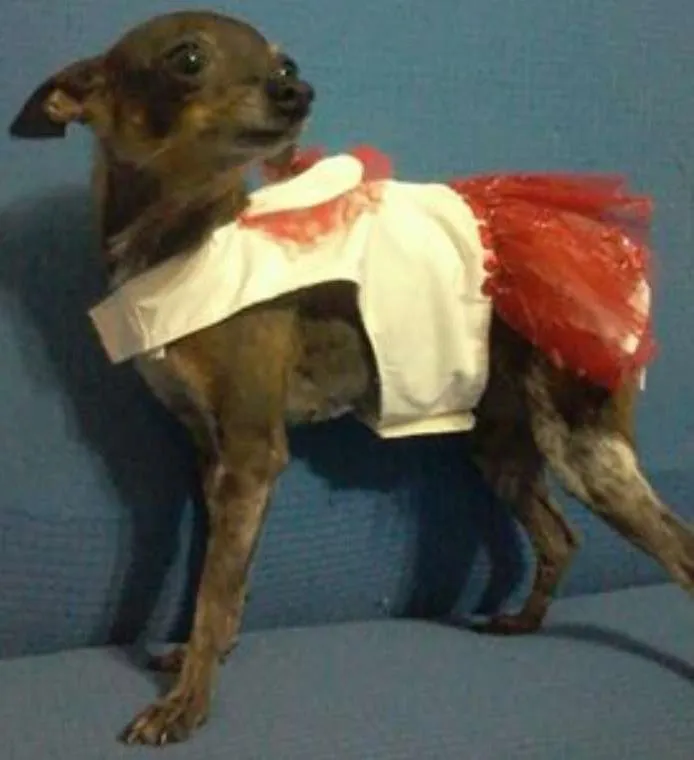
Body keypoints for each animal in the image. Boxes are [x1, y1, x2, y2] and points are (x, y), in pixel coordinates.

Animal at [9, 9, 694, 747]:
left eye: (285, 65)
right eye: (187, 58)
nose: (297, 93)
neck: (185, 242)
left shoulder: (253, 454)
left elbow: (215, 589)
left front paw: (186, 702)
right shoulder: (212, 454)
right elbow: (227, 582)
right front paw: (204, 657)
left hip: (587, 449)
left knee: (679, 551)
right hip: (505, 448)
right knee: (561, 539)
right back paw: (522, 621)